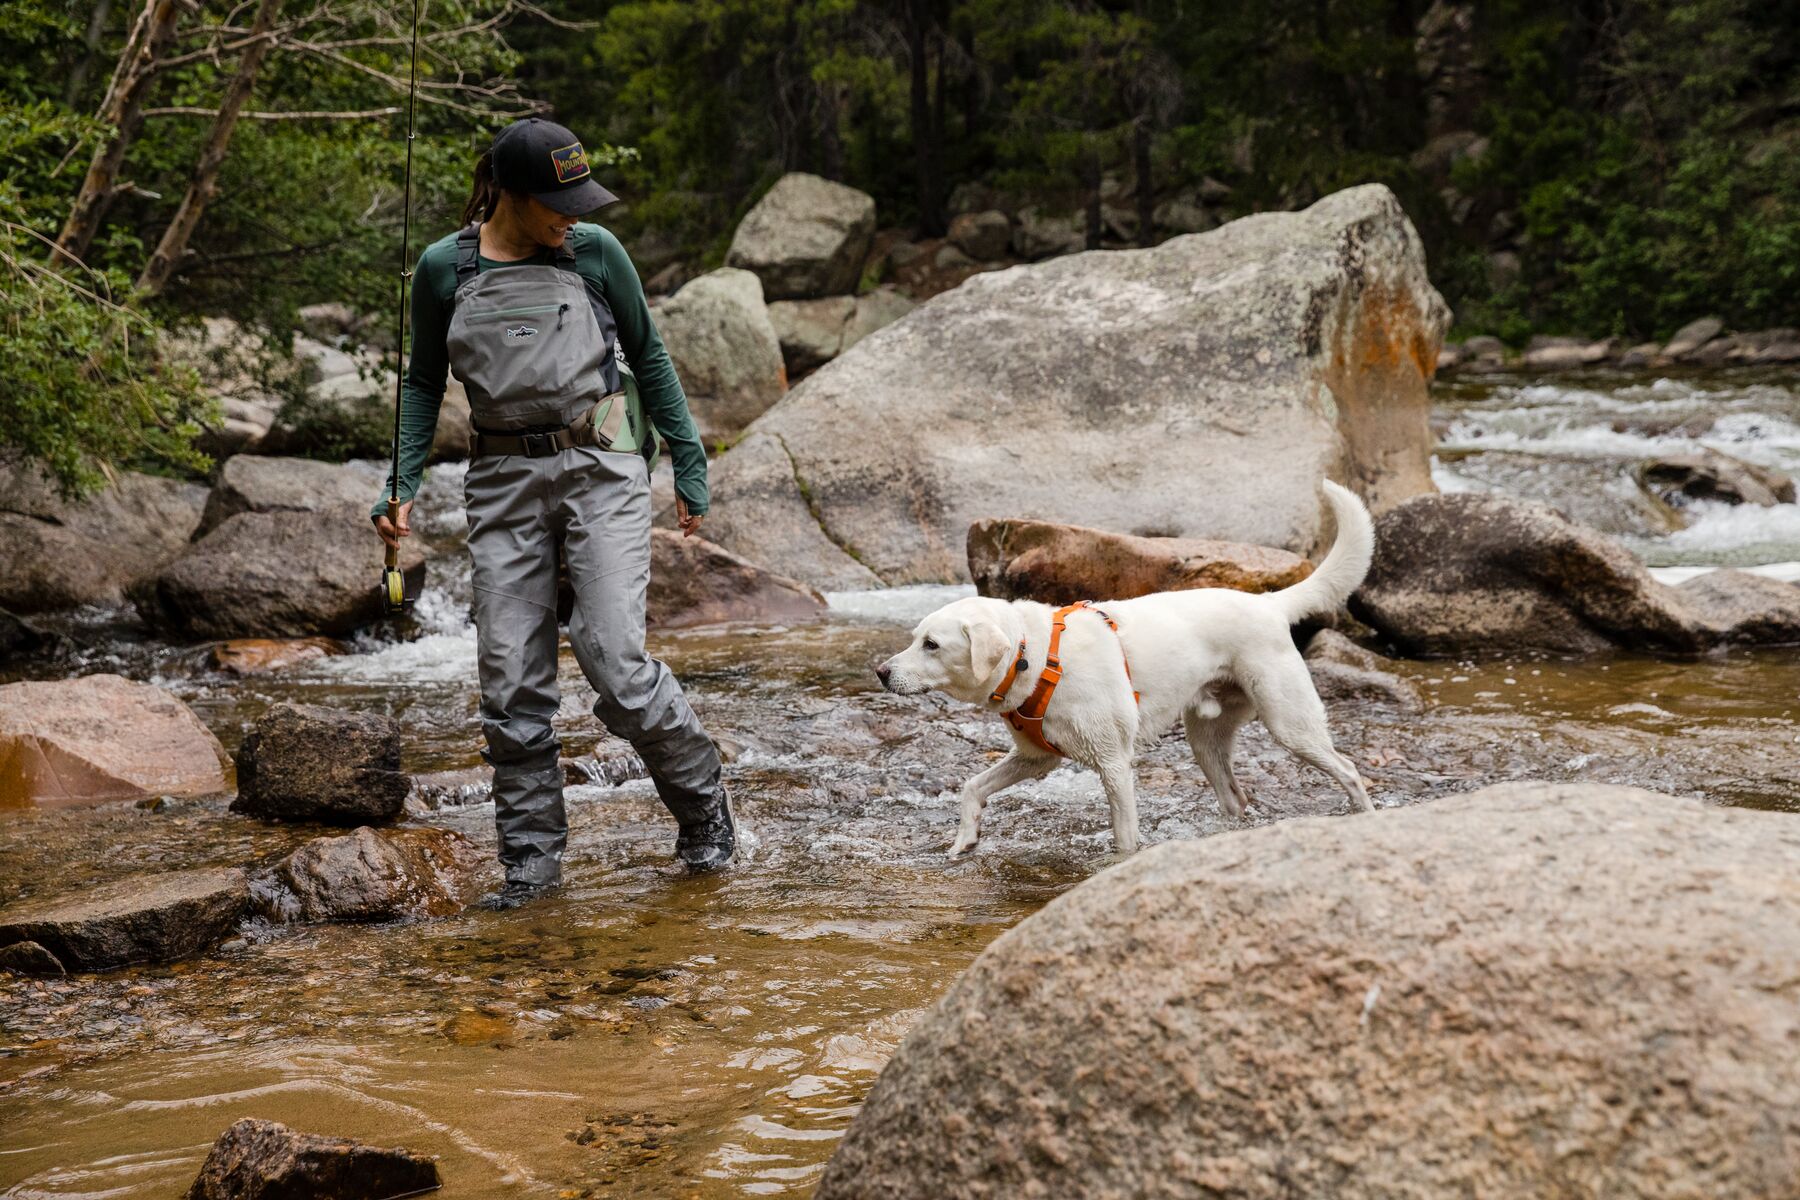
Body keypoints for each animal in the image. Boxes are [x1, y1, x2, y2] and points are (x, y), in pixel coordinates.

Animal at [878, 482, 1368, 859]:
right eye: (914, 637)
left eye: (931, 645)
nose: (881, 672)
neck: (1034, 657)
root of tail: (1268, 603)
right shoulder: (1036, 758)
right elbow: (972, 787)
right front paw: (964, 841)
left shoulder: (1113, 763)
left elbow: (1125, 838)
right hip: (1206, 740)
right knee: (1234, 798)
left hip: (1290, 724)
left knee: (1348, 770)